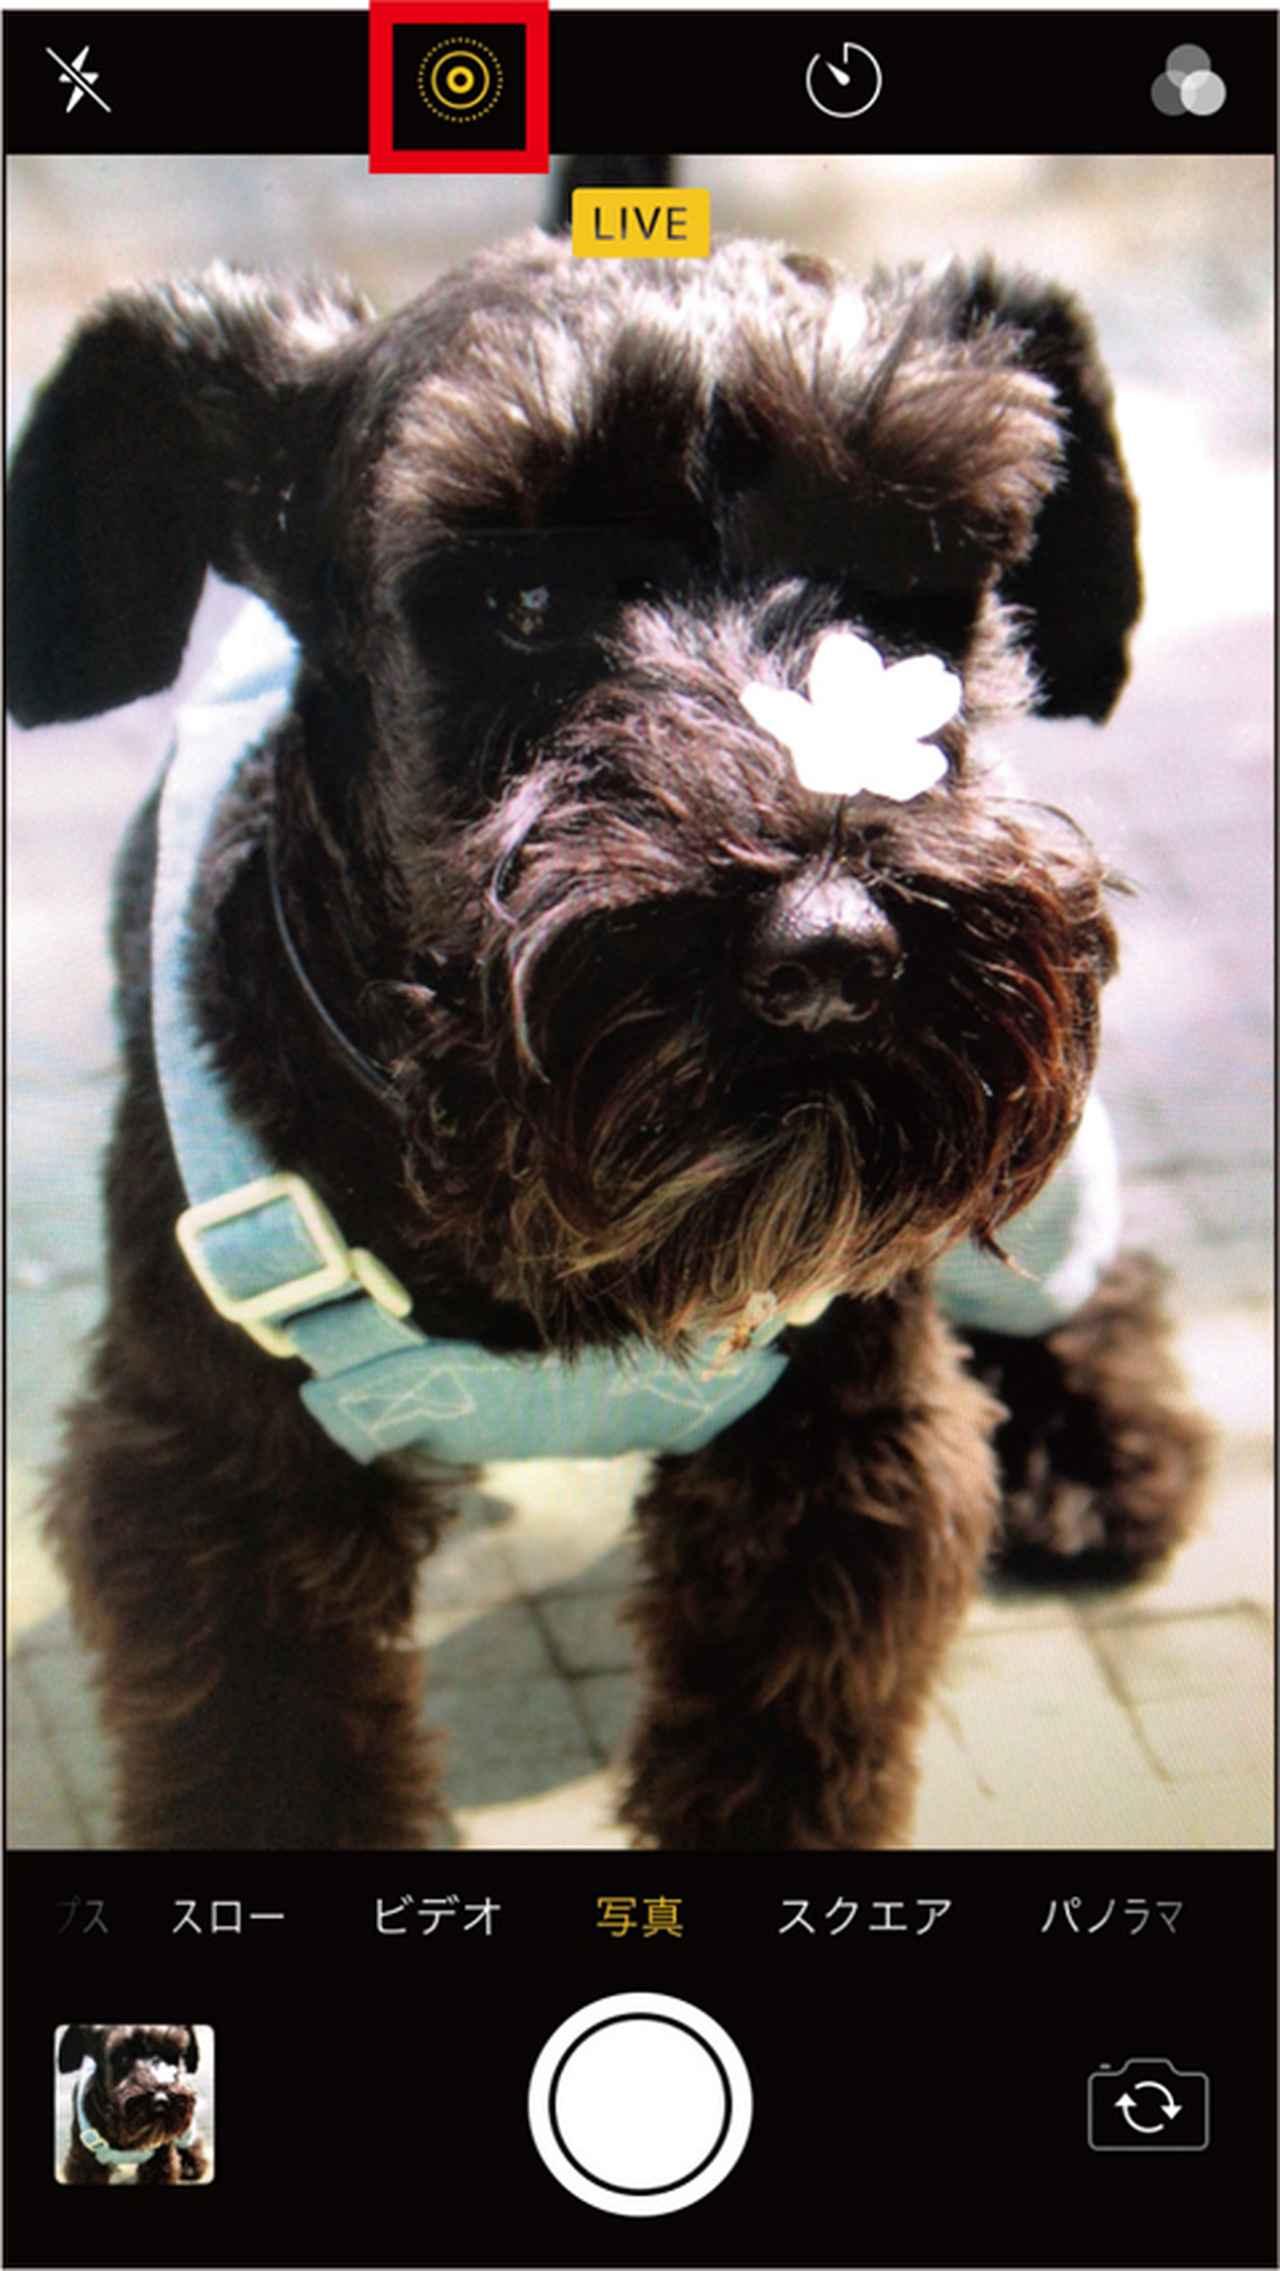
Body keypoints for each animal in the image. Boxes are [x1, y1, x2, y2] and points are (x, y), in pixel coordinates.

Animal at [7, 200, 1209, 1850]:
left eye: (915, 584)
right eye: (520, 604)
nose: (832, 952)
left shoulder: (841, 1462)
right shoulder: (220, 1494)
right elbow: (274, 1758)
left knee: (1082, 1272)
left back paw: (1096, 1455)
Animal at [58, 2024, 206, 2184]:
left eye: (172, 2057)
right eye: (123, 2058)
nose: (161, 2100)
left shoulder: (160, 2161)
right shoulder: (86, 2164)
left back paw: (191, 2166)